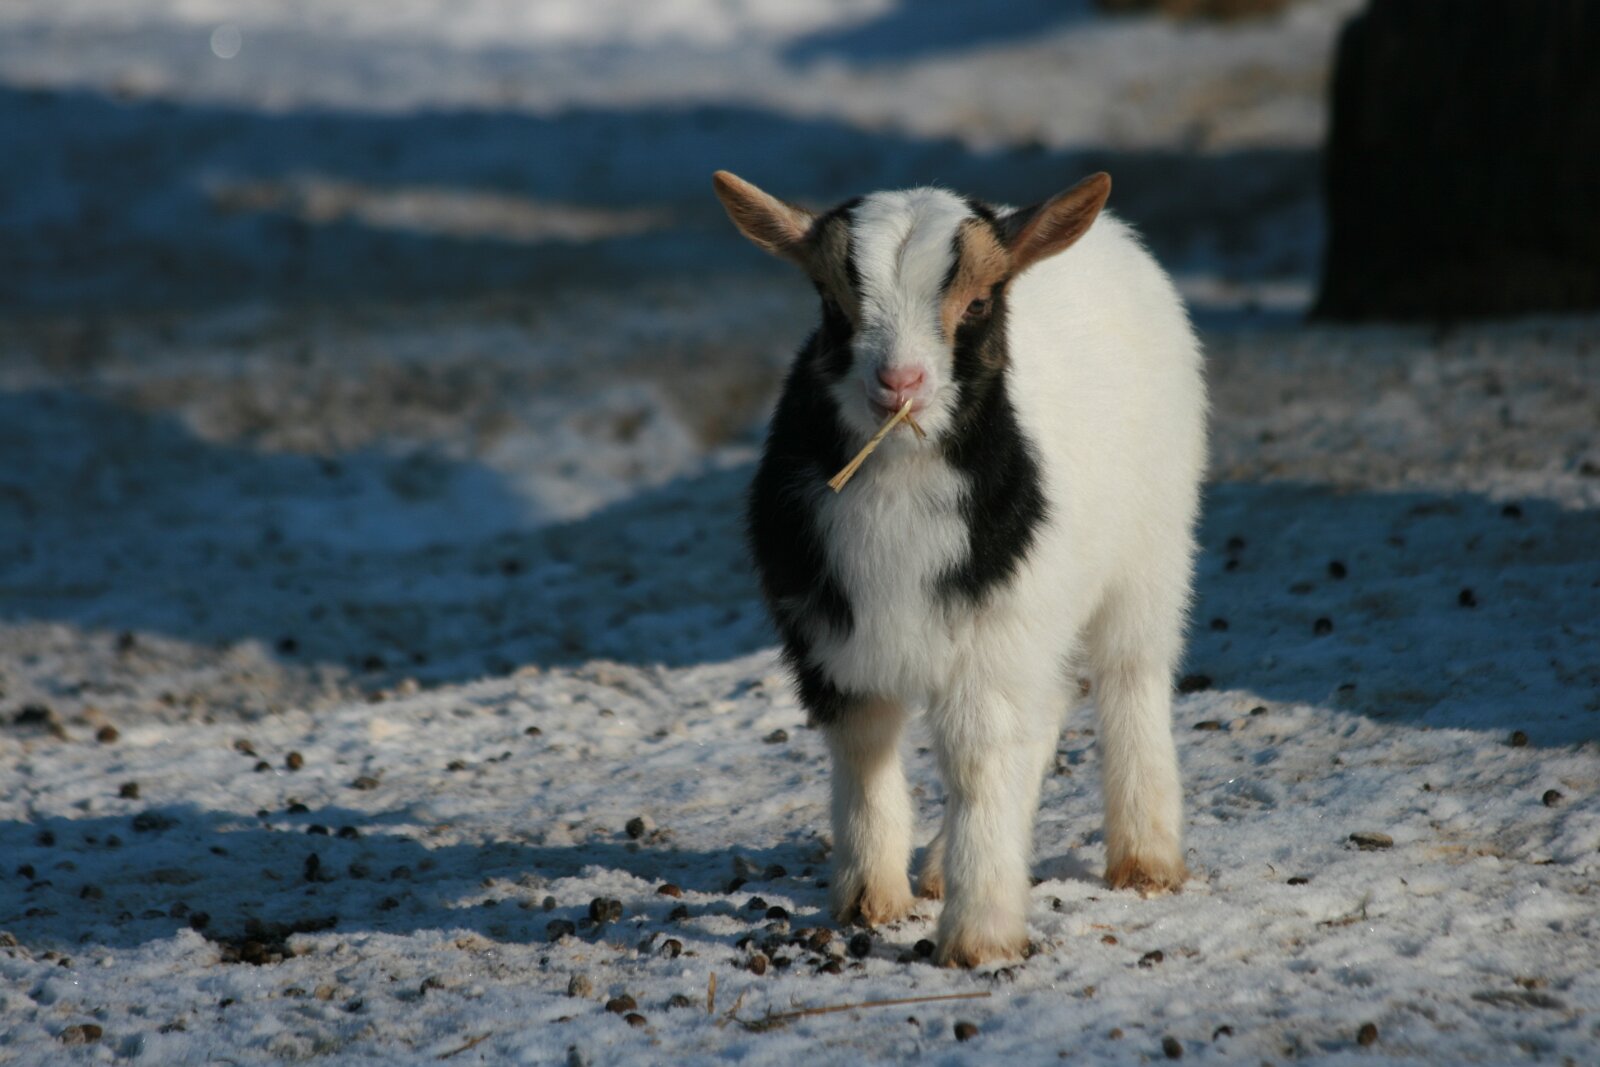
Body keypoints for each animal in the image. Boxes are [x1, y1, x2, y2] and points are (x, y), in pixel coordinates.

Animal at [713, 169, 1206, 967]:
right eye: (832, 303)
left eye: (978, 302)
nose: (900, 381)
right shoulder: (830, 636)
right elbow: (864, 745)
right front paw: (871, 898)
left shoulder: (994, 635)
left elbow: (980, 761)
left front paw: (981, 936)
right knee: (1050, 703)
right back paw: (940, 869)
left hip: (1152, 547)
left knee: (1132, 674)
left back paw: (1146, 859)